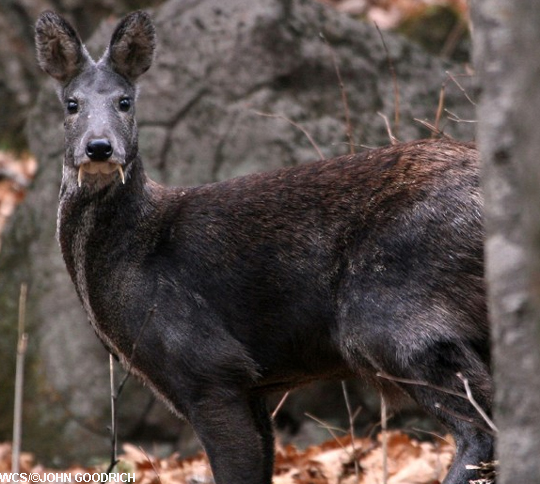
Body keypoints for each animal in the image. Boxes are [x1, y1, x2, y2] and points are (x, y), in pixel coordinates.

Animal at [37, 8, 494, 484]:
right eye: (72, 104)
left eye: (125, 101)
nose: (99, 147)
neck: (136, 251)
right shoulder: (249, 385)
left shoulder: (209, 366)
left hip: (392, 310)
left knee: (480, 428)